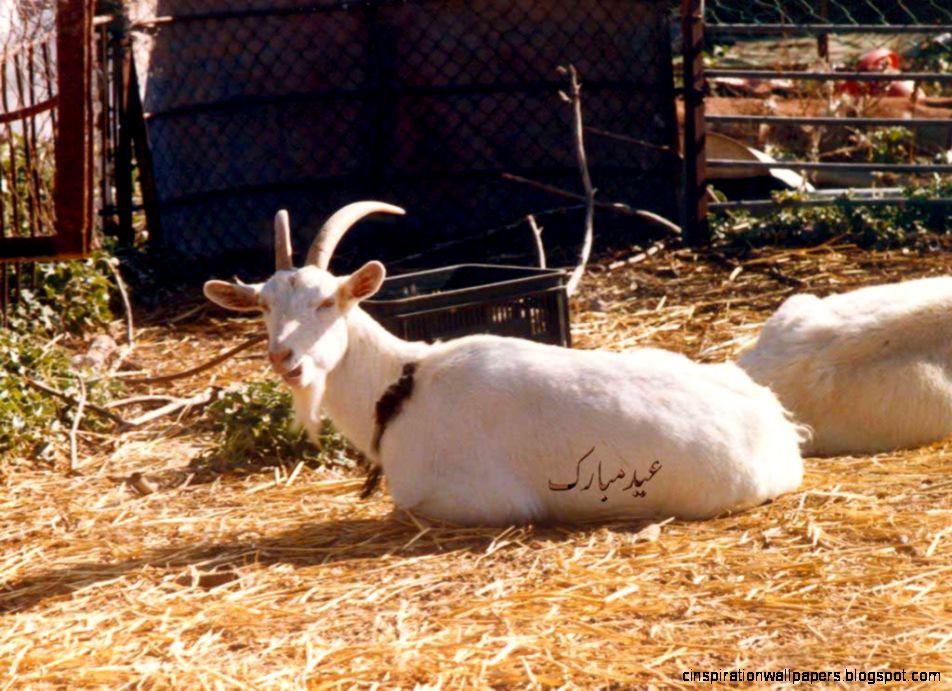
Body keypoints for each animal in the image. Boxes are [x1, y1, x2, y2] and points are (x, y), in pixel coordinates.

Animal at [204, 202, 804, 525]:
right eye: (263, 306)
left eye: (328, 301)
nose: (284, 357)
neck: (403, 384)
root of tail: (778, 425)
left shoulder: (481, 500)